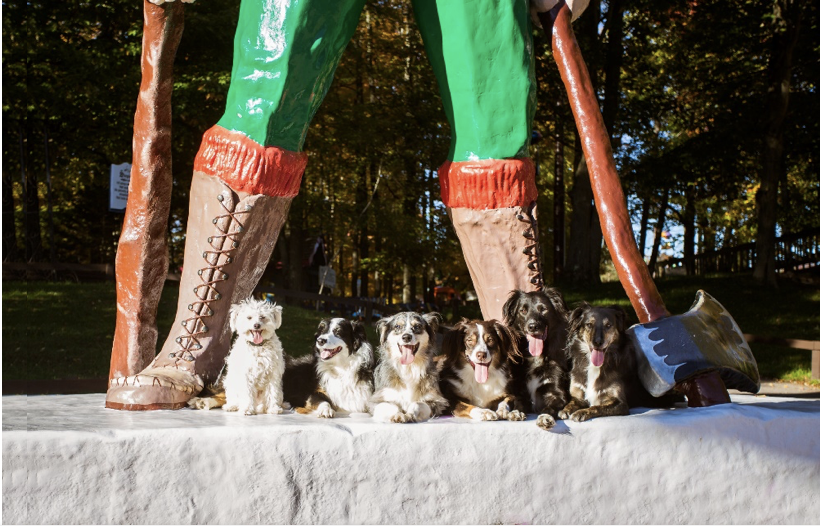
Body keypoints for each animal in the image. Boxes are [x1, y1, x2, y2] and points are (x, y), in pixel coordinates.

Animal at [500, 290, 572, 432]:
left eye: (543, 309)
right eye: (523, 310)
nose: (533, 326)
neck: (536, 356)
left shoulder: (557, 393)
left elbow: (550, 407)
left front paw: (545, 418)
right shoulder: (520, 391)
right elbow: (518, 402)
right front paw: (516, 412)